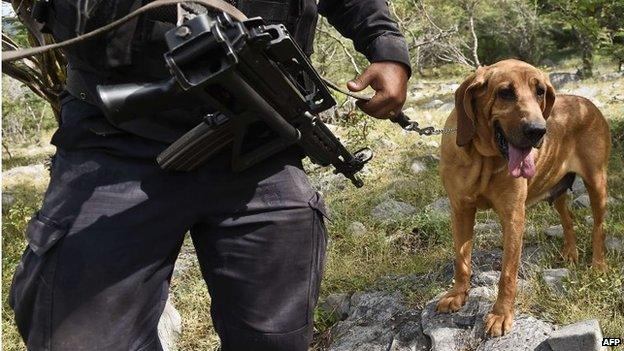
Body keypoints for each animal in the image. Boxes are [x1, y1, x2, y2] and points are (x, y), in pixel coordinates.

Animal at [436, 59, 612, 338]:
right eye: (505, 93)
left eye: (540, 91)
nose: (538, 131)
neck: (485, 157)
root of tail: (588, 103)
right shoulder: (461, 209)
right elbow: (461, 260)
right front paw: (457, 294)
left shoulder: (513, 217)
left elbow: (507, 272)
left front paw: (500, 315)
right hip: (556, 190)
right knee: (568, 219)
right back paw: (570, 253)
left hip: (597, 183)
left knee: (598, 227)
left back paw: (598, 264)